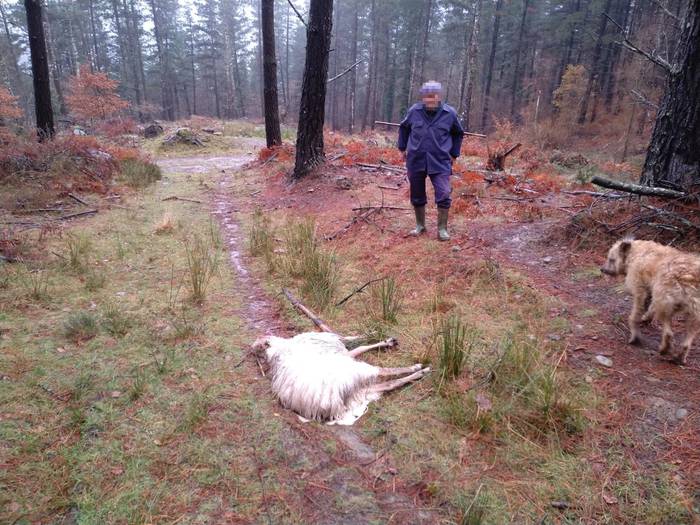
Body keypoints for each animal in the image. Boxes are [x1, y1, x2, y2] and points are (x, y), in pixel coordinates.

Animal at [250, 332, 426, 426]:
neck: (280, 350)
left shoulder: (343, 354)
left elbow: (360, 347)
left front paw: (384, 340)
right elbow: (359, 346)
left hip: (356, 387)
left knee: (388, 384)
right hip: (352, 373)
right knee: (384, 373)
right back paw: (419, 370)